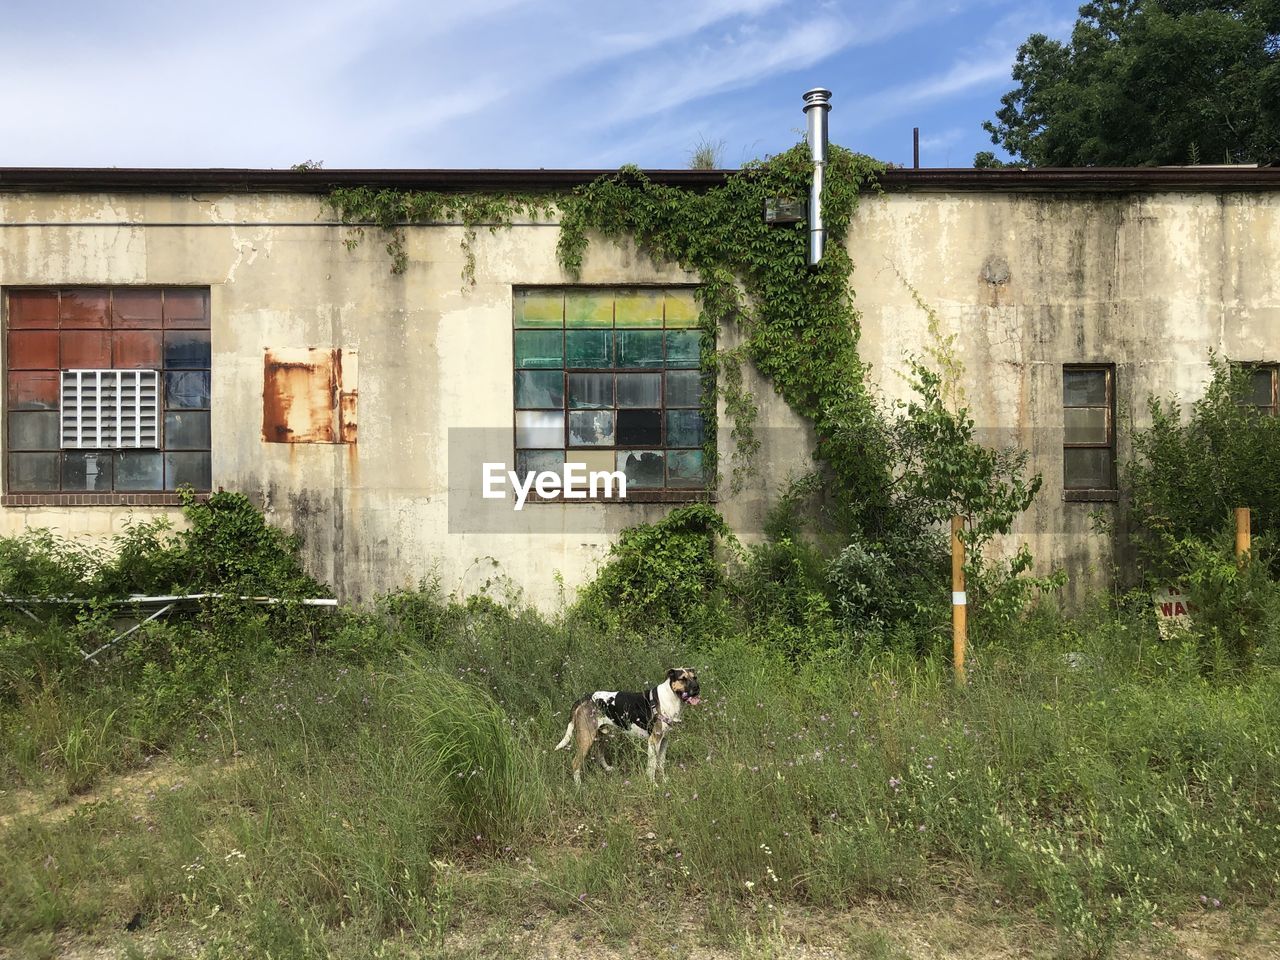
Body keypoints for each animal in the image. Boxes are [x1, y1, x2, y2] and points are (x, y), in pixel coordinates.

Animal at [555, 670, 706, 783]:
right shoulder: (654, 741)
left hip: (603, 734)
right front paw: (654, 785)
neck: (671, 697)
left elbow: (661, 763)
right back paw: (579, 787)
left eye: (695, 677)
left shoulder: (664, 740)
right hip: (587, 738)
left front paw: (664, 780)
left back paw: (608, 769)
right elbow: (652, 766)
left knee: (599, 754)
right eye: (683, 679)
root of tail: (583, 699)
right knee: (575, 763)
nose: (697, 688)